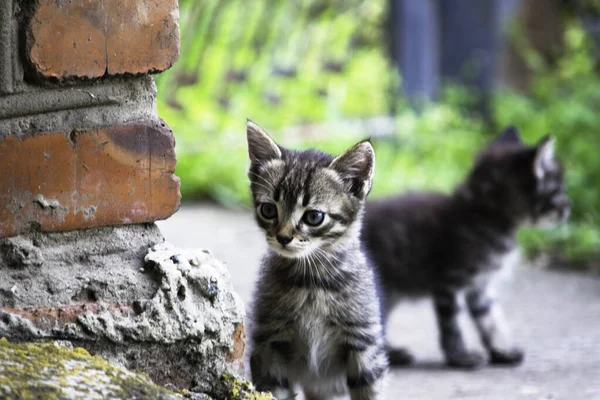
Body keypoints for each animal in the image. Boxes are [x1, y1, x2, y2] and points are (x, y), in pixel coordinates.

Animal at [246, 121, 386, 400]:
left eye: (314, 217)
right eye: (268, 210)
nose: (283, 237)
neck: (312, 283)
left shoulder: (364, 344)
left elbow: (370, 390)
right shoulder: (269, 343)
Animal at [364, 127, 568, 368]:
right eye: (558, 189)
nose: (568, 207)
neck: (484, 214)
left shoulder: (480, 286)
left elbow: (491, 318)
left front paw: (502, 351)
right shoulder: (449, 282)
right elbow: (452, 323)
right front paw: (461, 356)